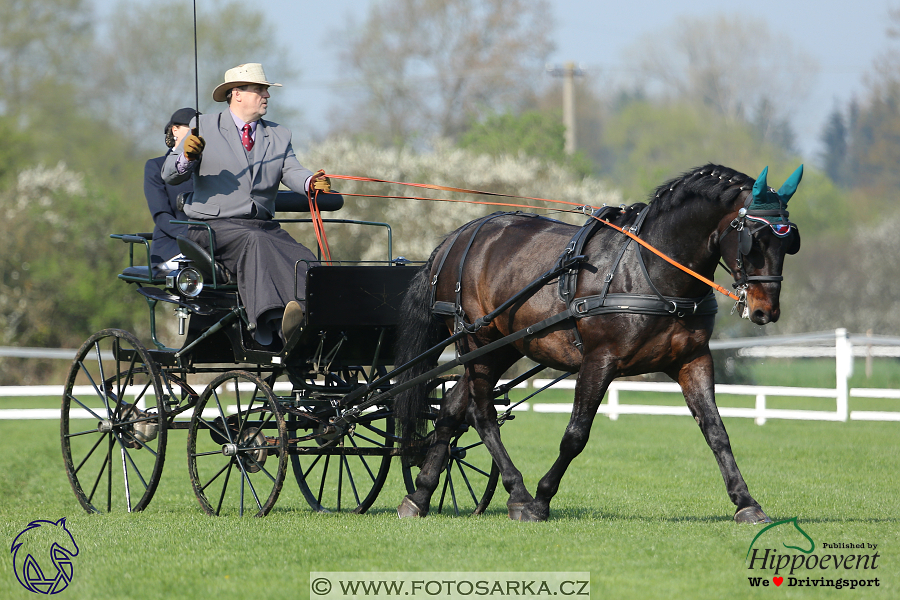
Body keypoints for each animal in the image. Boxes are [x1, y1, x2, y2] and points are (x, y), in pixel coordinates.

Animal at [394, 163, 800, 520]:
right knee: (481, 413)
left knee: (451, 407)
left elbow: (717, 432)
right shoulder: (599, 360)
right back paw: (518, 492)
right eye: (753, 239)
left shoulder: (693, 360)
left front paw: (746, 502)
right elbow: (575, 435)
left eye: (789, 241)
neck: (650, 270)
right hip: (477, 341)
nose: (766, 311)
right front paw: (541, 501)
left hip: (500, 347)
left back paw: (420, 495)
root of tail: (455, 239)